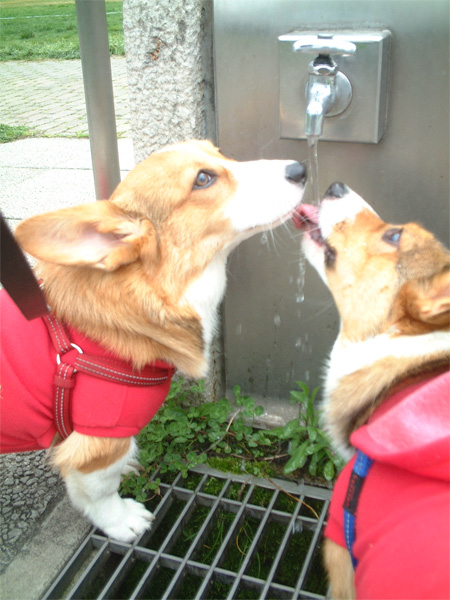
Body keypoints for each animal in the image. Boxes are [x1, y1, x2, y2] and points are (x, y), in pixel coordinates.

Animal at [1, 140, 306, 542]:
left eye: (220, 153)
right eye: (203, 179)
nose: (300, 169)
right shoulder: (99, 441)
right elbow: (99, 492)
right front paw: (121, 521)